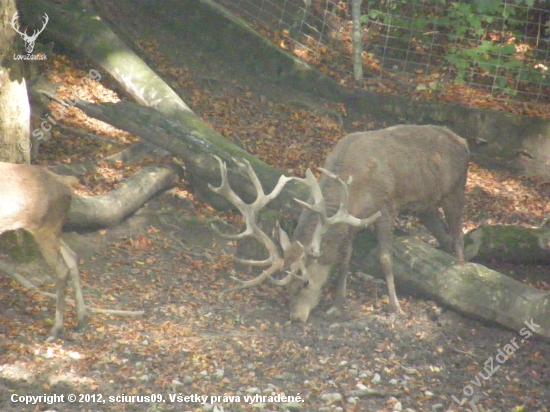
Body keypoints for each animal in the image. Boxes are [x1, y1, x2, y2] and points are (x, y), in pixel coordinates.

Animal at [0, 163, 88, 340]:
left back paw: (56, 329)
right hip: (47, 229)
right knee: (72, 256)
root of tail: (67, 183)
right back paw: (81, 320)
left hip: (46, 227)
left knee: (62, 269)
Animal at [211, 125, 470, 322]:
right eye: (287, 287)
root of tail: (463, 141)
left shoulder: (386, 206)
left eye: (305, 282)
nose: (296, 317)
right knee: (445, 237)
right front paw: (337, 303)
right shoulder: (352, 219)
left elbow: (385, 259)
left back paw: (458, 276)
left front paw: (395, 307)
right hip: (427, 206)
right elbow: (345, 260)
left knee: (458, 236)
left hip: (456, 188)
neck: (353, 187)